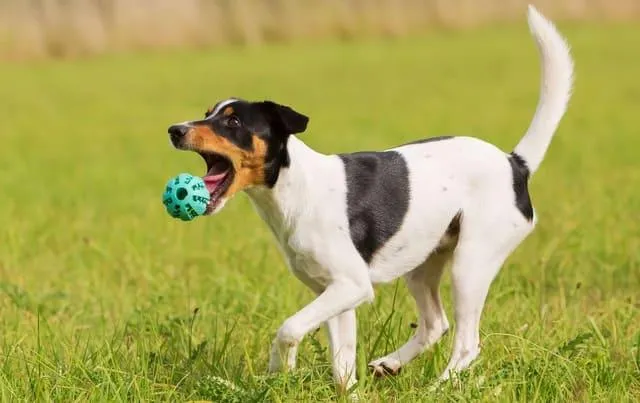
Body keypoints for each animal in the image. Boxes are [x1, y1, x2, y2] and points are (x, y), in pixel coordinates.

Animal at [166, 4, 576, 392]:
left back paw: (437, 388)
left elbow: (289, 328)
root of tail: (515, 163)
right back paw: (391, 364)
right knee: (435, 324)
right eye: (208, 114)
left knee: (466, 344)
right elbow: (342, 364)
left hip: (470, 265)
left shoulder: (352, 285)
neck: (296, 188)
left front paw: (281, 365)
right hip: (423, 264)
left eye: (232, 122)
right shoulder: (335, 294)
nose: (175, 129)